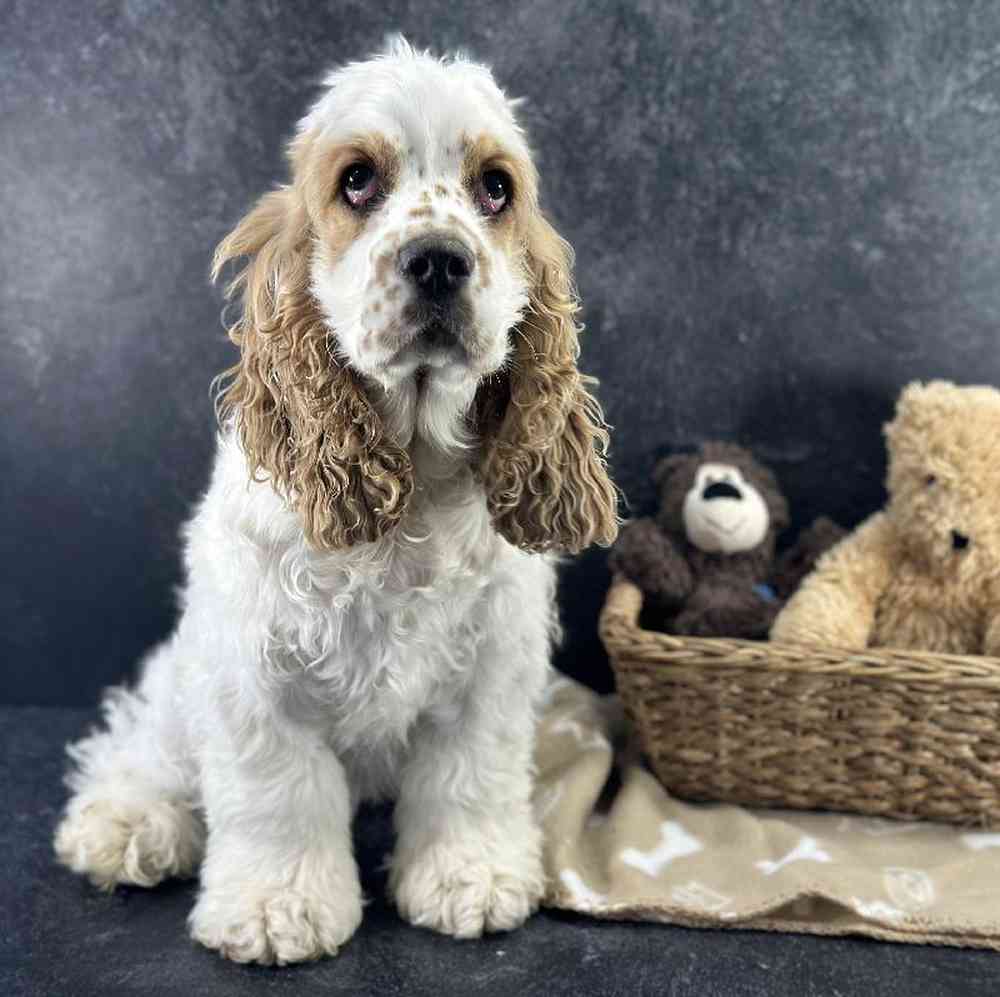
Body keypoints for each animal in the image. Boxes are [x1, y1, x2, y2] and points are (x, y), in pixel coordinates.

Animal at [54, 39, 620, 964]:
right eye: (356, 181)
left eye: (495, 188)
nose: (439, 259)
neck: (411, 481)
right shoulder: (256, 674)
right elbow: (277, 795)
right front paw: (275, 907)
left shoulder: (489, 671)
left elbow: (469, 780)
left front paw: (471, 879)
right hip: (183, 676)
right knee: (141, 740)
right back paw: (125, 823)